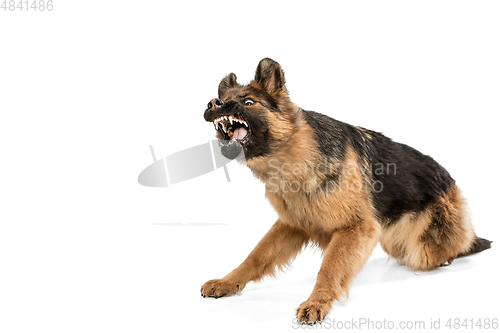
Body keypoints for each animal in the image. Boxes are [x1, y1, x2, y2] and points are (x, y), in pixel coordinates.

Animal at [200, 57, 492, 322]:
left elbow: (329, 268)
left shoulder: (356, 228)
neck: (296, 158)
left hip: (422, 248)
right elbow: (255, 256)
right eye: (223, 99)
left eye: (248, 102)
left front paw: (317, 301)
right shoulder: (292, 225)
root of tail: (451, 182)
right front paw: (228, 282)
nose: (213, 104)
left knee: (449, 247)